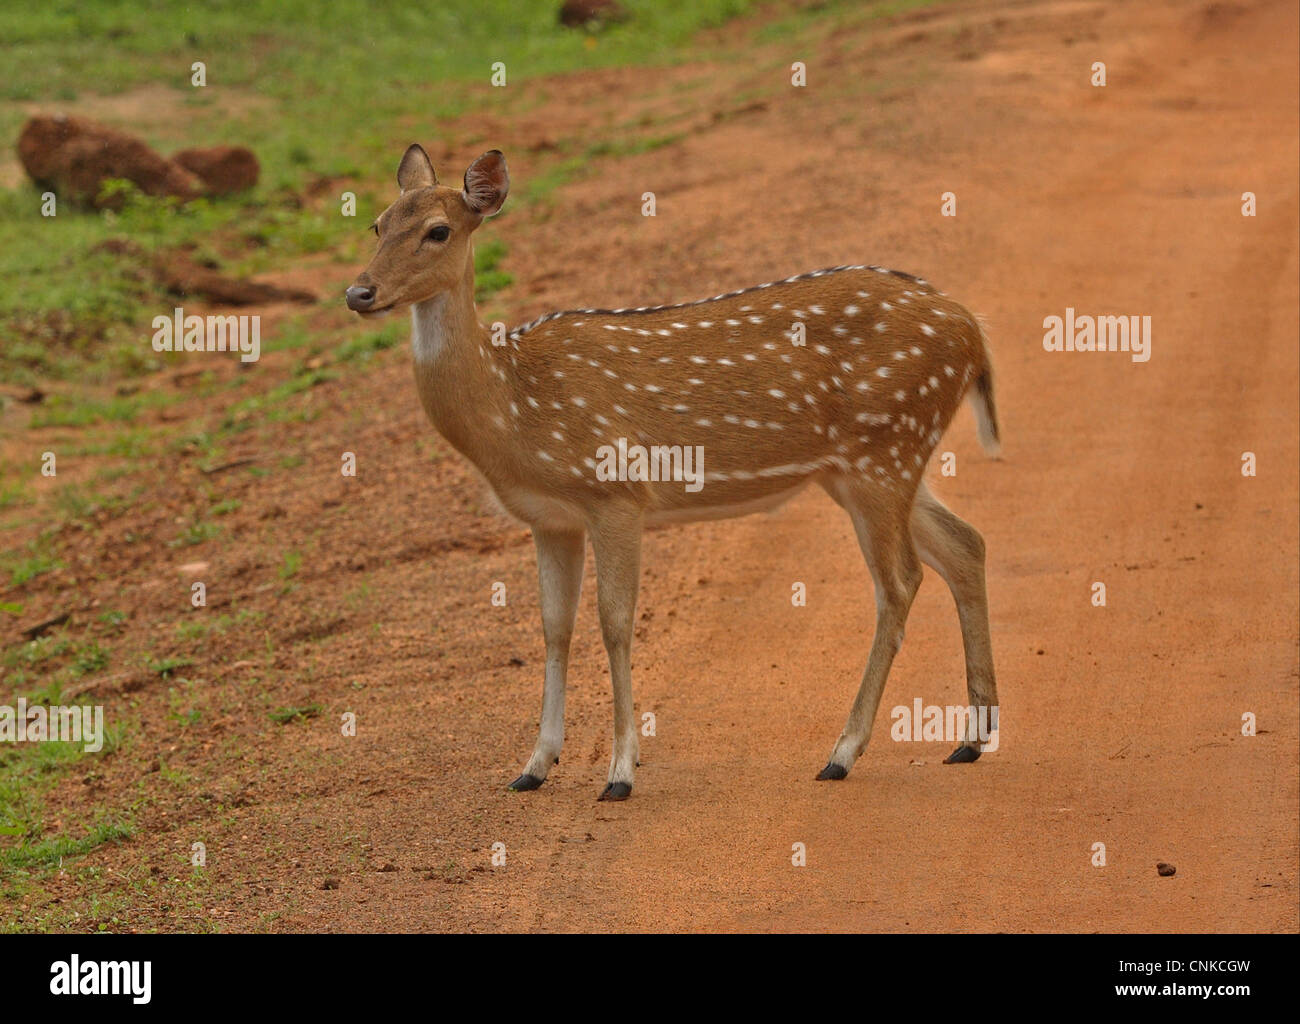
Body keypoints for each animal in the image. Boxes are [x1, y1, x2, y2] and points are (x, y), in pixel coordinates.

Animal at [340, 144, 998, 800]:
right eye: (376, 224)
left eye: (438, 230)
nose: (358, 292)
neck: (515, 408)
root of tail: (973, 331)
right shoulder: (550, 519)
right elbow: (554, 627)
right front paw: (532, 766)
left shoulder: (616, 492)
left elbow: (614, 622)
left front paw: (620, 772)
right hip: (870, 464)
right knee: (964, 543)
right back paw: (970, 739)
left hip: (884, 449)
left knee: (900, 581)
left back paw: (842, 753)